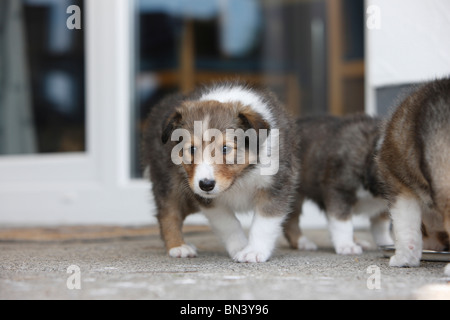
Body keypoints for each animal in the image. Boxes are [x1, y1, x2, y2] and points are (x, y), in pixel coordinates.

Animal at [142, 82, 300, 262]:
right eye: (191, 149)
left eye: (225, 148)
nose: (206, 185)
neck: (241, 176)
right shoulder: (205, 198)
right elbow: (227, 223)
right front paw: (240, 246)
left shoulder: (276, 185)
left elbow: (264, 223)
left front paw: (253, 251)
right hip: (167, 180)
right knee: (168, 213)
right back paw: (178, 246)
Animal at [284, 115, 394, 255]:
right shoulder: (338, 191)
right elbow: (342, 222)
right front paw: (347, 246)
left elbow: (381, 225)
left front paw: (387, 243)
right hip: (294, 193)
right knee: (291, 220)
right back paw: (303, 243)